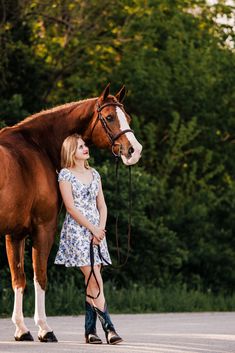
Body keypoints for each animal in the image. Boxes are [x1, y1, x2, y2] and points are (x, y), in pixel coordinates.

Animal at [0, 83, 141, 340]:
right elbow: (40, 276)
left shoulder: (14, 233)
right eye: (109, 117)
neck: (36, 147)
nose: (135, 150)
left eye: (128, 117)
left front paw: (22, 330)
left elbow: (18, 279)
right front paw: (45, 329)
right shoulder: (43, 228)